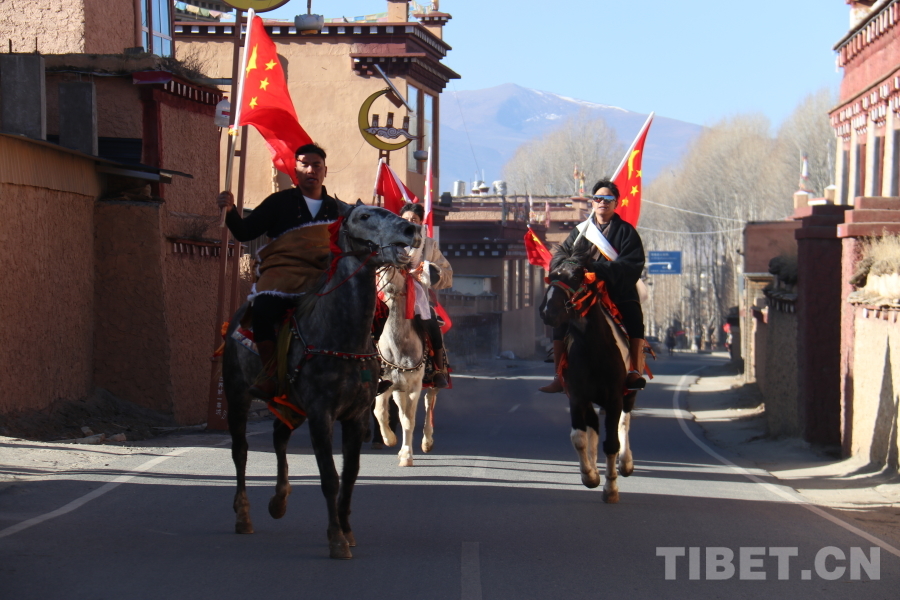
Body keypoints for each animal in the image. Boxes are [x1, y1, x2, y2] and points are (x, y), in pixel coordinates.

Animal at [222, 201, 420, 559]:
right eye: (364, 216)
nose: (410, 230)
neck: (341, 336)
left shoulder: (356, 416)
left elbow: (351, 474)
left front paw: (347, 529)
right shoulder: (320, 413)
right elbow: (329, 476)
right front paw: (337, 539)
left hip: (289, 403)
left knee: (279, 436)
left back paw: (279, 500)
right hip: (237, 395)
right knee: (241, 450)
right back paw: (244, 515)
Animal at [371, 265, 437, 466]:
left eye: (399, 270)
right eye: (377, 271)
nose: (388, 284)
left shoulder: (415, 385)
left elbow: (409, 420)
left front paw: (407, 455)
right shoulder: (385, 383)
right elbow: (380, 412)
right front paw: (389, 440)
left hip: (433, 381)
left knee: (429, 401)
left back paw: (427, 442)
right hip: (399, 388)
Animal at [539, 256, 635, 504]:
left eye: (575, 277)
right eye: (551, 276)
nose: (547, 311)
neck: (593, 348)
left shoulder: (614, 399)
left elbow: (612, 443)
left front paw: (611, 489)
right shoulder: (577, 397)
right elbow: (579, 437)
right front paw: (589, 475)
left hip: (629, 393)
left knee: (624, 422)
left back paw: (626, 463)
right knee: (593, 424)